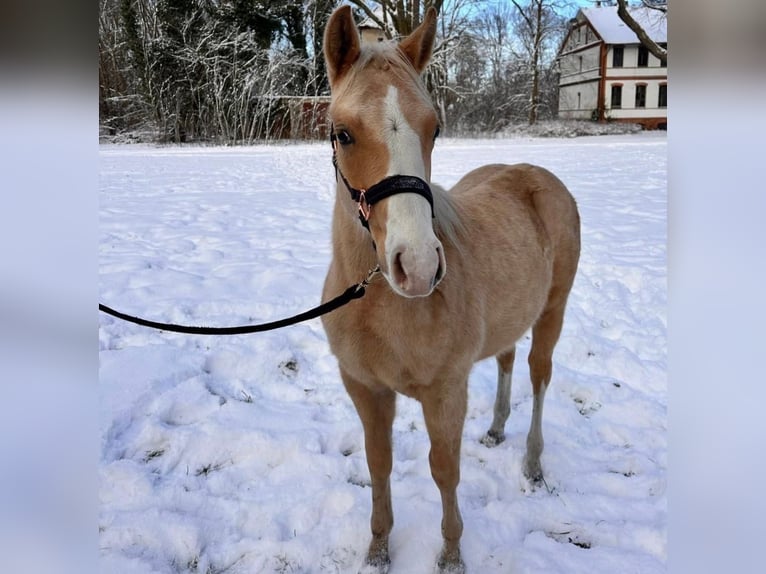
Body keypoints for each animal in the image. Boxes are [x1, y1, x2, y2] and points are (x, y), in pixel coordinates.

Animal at [320, 7, 581, 573]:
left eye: (434, 128)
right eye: (343, 134)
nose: (417, 266)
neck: (380, 304)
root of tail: (538, 174)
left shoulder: (444, 392)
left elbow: (445, 470)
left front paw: (451, 554)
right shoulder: (364, 388)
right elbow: (378, 463)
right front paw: (378, 549)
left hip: (552, 312)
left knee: (539, 376)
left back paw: (532, 462)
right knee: (506, 359)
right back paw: (498, 429)